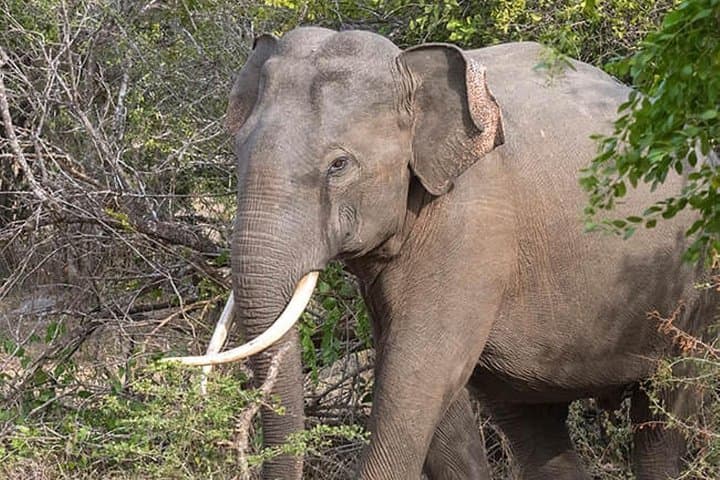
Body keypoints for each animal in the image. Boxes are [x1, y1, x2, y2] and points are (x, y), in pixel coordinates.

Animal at [168, 27, 718, 479]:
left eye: (339, 165)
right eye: (238, 151)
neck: (410, 67)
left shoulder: (470, 225)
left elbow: (416, 376)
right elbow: (429, 392)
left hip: (697, 286)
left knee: (665, 414)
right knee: (532, 425)